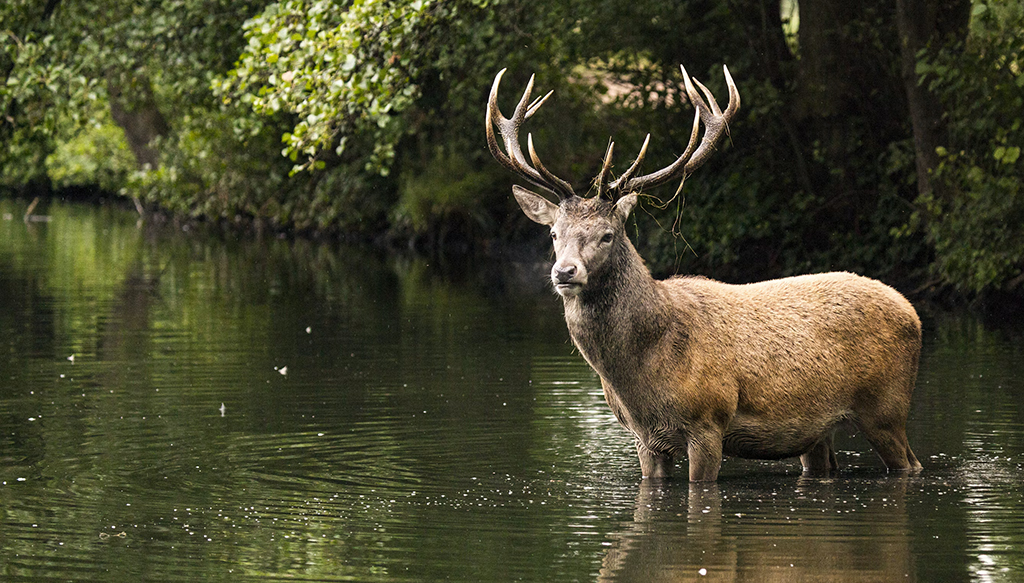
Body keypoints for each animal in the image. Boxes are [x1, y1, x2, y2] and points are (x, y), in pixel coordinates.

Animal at [486, 65, 923, 481]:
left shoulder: (708, 421)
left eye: (608, 234)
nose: (564, 272)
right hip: (817, 432)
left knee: (910, 462)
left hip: (887, 407)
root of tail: (912, 311)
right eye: (554, 233)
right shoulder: (644, 439)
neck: (641, 376)